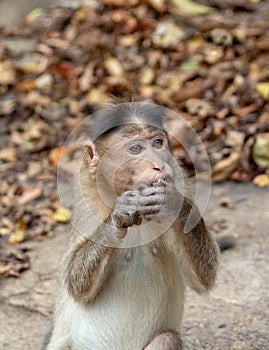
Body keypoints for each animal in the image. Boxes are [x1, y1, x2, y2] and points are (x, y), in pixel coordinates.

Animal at [46, 102, 218, 348]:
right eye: (136, 149)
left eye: (157, 143)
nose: (158, 165)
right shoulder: (86, 195)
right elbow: (75, 282)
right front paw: (120, 214)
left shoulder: (180, 177)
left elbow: (203, 278)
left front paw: (172, 202)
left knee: (167, 338)